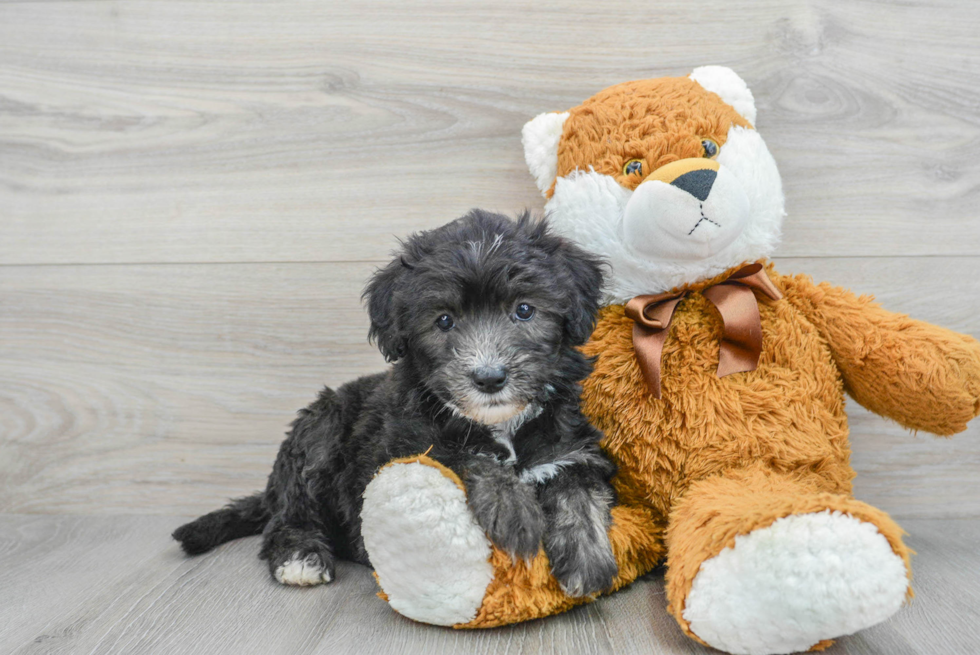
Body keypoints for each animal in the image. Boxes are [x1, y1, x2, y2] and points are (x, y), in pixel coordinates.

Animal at [174, 210, 620, 600]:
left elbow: (579, 493)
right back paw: (301, 556)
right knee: (289, 517)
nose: (490, 378)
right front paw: (513, 509)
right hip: (321, 426)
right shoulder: (399, 450)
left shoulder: (570, 449)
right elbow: (463, 457)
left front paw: (588, 559)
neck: (499, 424)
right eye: (444, 320)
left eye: (524, 310)